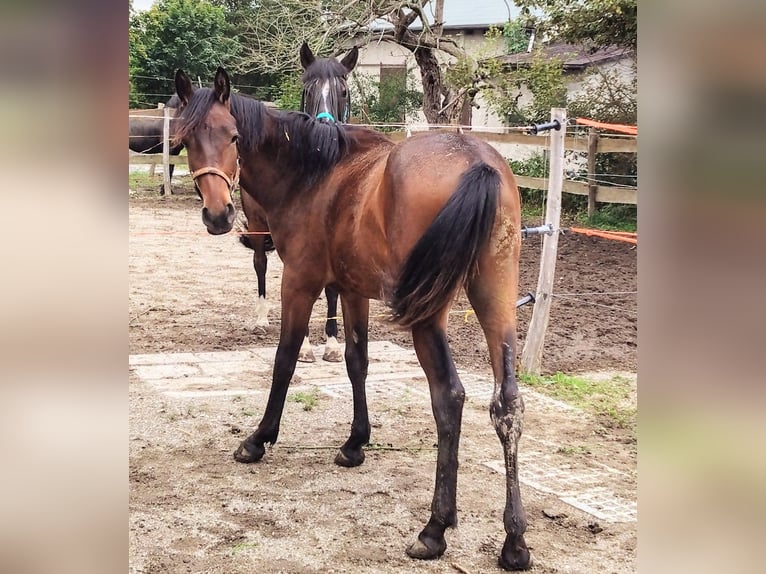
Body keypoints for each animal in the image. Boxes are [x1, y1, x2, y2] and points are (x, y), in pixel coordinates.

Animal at [236, 41, 358, 364]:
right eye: (308, 90)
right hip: (257, 224)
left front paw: (332, 343)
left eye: (343, 90)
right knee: (260, 263)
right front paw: (303, 346)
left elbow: (332, 292)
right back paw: (261, 317)